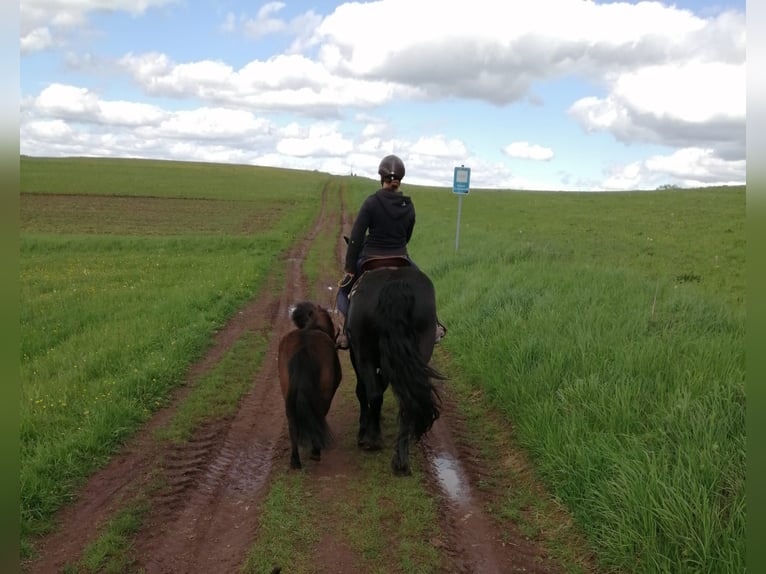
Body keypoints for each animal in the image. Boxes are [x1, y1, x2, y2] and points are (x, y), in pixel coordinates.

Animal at [280, 304, 342, 470]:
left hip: (287, 393)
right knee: (318, 416)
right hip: (324, 394)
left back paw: (295, 460)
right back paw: (315, 451)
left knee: (292, 423)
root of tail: (304, 348)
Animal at [346, 264, 448, 474]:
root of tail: (396, 284)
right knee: (406, 400)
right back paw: (401, 460)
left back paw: (372, 439)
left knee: (374, 393)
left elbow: (363, 390)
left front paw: (364, 428)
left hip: (363, 352)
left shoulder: (356, 352)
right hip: (420, 348)